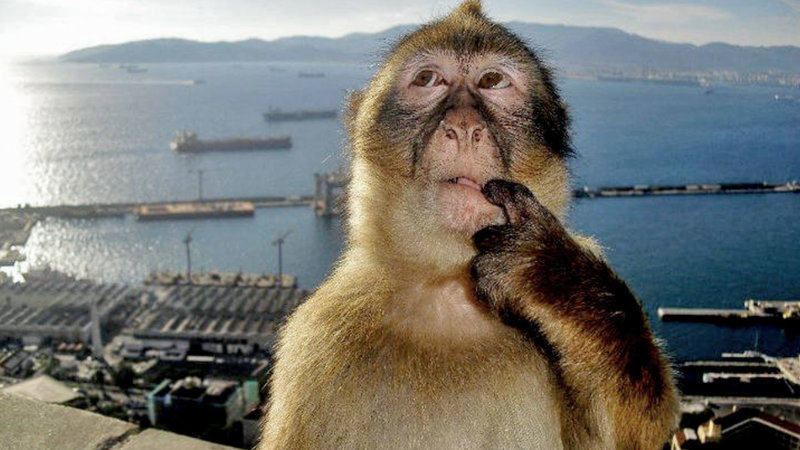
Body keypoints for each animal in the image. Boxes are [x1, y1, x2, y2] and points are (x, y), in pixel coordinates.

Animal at [259, 1, 677, 449]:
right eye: (428, 79)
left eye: (492, 81)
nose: (463, 127)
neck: (449, 288)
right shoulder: (316, 345)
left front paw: (548, 273)